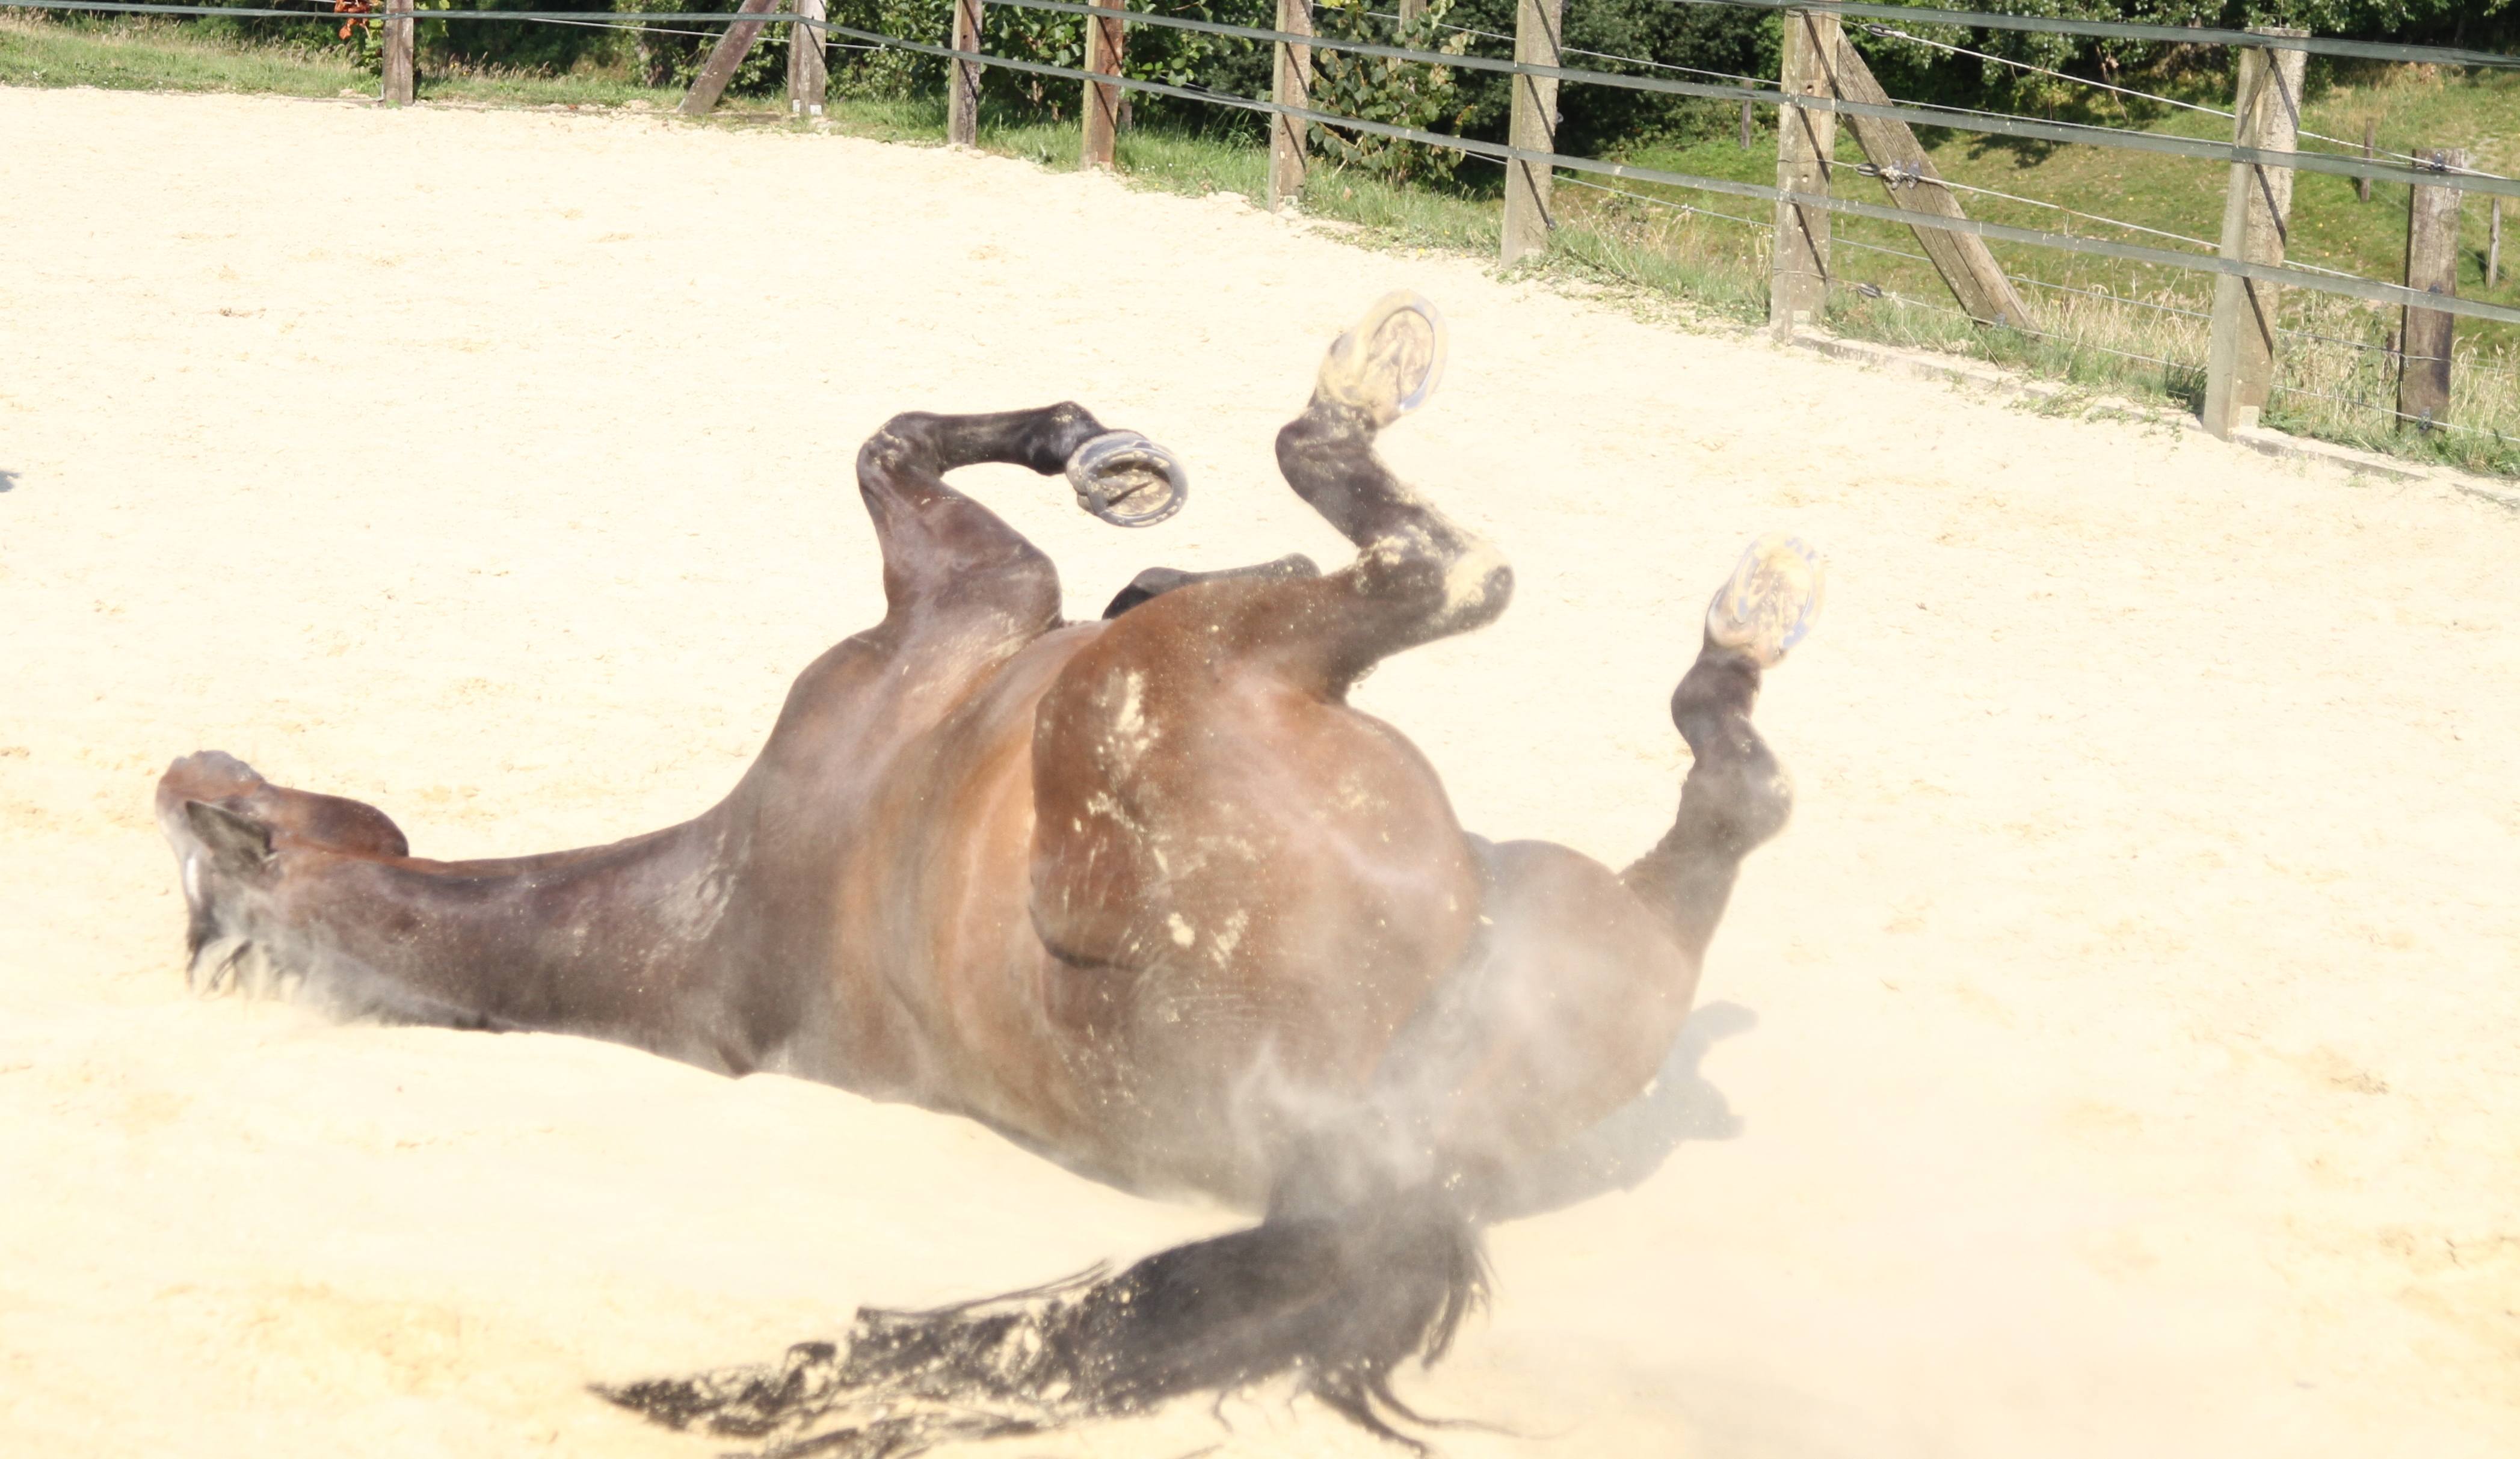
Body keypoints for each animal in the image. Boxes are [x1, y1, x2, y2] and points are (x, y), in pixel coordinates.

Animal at [157, 293, 1824, 1451]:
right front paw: (1104, 457)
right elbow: (895, 442)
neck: (704, 914)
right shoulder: (981, 590)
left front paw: (1116, 476)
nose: (180, 774)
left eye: (224, 841)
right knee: (1453, 579)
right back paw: (1397, 411)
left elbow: (932, 450)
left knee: (1729, 797)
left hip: (1581, 934)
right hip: (1158, 692)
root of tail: (1364, 1150)